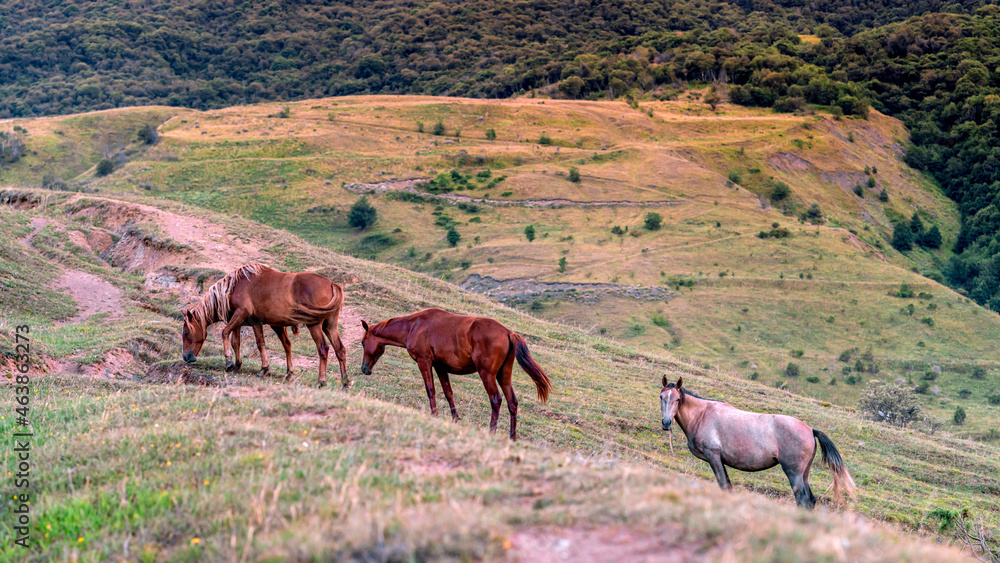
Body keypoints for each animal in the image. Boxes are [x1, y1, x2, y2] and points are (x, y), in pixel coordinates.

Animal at [181, 263, 349, 387]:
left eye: (187, 333)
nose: (186, 357)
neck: (235, 286)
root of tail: (333, 284)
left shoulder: (242, 314)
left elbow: (226, 333)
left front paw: (230, 362)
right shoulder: (247, 322)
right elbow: (240, 342)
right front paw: (239, 366)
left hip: (314, 325)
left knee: (323, 349)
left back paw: (321, 381)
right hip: (329, 326)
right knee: (339, 349)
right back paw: (344, 382)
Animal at [359, 308, 552, 440]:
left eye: (362, 342)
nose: (364, 369)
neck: (415, 325)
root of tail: (508, 332)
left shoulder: (424, 362)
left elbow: (430, 390)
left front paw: (434, 415)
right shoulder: (440, 366)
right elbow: (448, 392)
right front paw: (455, 418)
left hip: (487, 374)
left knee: (496, 400)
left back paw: (492, 431)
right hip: (503, 375)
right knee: (512, 402)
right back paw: (512, 437)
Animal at [659, 376, 856, 509]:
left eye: (677, 399)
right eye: (662, 397)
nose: (666, 423)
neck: (702, 415)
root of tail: (810, 430)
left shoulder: (713, 456)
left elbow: (724, 485)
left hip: (794, 473)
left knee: (802, 499)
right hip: (804, 474)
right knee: (810, 500)